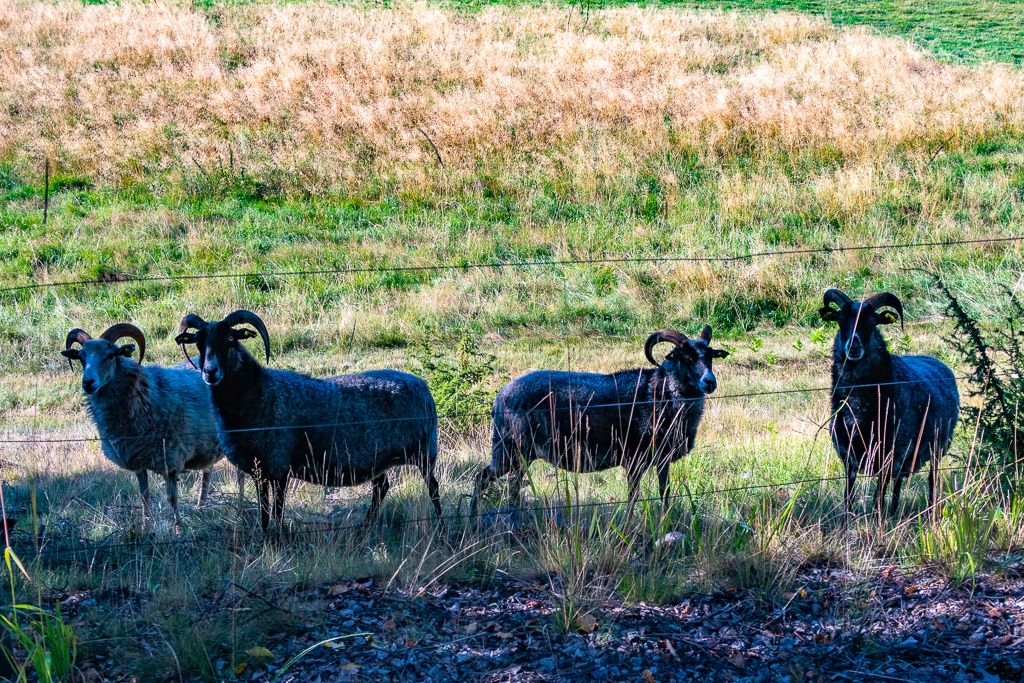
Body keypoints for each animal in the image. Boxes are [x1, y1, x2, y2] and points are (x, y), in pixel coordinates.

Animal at [60, 323, 225, 520]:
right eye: (81, 357)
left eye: (110, 355)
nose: (88, 382)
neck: (146, 395)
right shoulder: (138, 462)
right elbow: (144, 498)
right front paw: (147, 524)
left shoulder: (171, 459)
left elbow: (172, 499)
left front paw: (179, 525)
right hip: (210, 445)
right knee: (207, 470)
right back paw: (201, 505)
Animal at [176, 311, 440, 532]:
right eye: (198, 342)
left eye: (230, 339)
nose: (210, 372)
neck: (257, 390)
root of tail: (423, 386)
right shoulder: (260, 472)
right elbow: (265, 513)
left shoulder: (278, 467)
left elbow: (276, 511)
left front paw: (277, 541)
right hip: (379, 460)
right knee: (381, 488)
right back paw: (365, 527)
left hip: (424, 451)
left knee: (433, 487)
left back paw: (439, 526)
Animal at [471, 327, 729, 516]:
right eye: (686, 358)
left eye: (710, 357)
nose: (710, 382)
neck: (660, 392)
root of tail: (500, 397)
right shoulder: (633, 458)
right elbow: (633, 496)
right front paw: (629, 523)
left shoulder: (662, 459)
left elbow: (664, 491)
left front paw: (665, 519)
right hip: (508, 449)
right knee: (482, 478)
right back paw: (474, 516)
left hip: (520, 455)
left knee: (512, 485)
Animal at [815, 286, 958, 518]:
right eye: (839, 319)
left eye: (873, 321)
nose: (853, 346)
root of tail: (934, 359)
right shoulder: (848, 457)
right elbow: (848, 498)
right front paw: (847, 524)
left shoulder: (888, 457)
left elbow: (877, 501)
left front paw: (877, 523)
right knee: (898, 484)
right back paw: (894, 512)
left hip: (937, 448)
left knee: (932, 480)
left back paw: (929, 512)